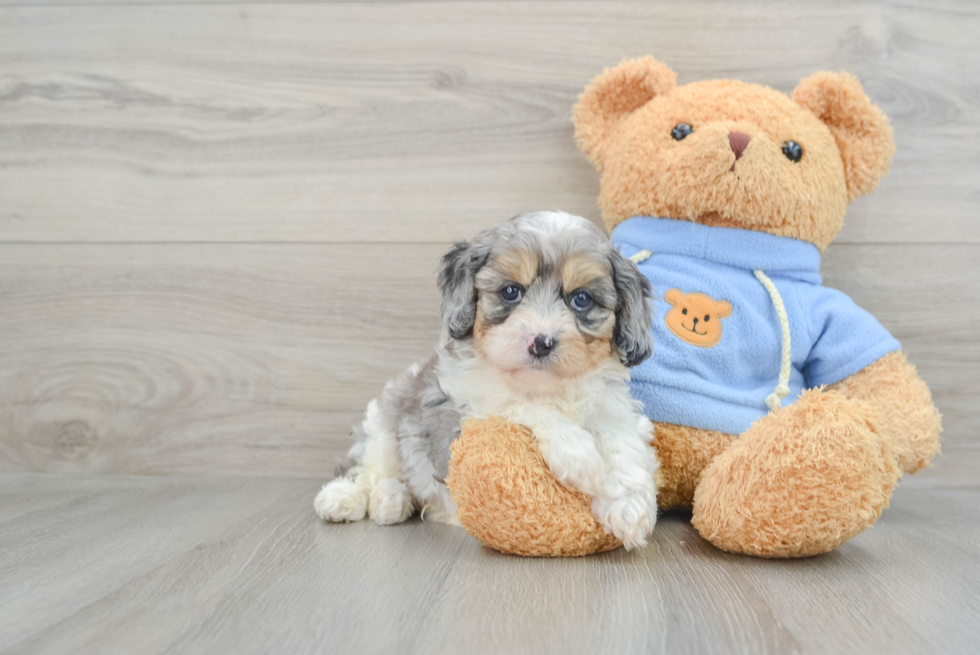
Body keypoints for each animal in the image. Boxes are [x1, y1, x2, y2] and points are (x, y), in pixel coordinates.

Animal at [316, 211, 660, 548]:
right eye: (510, 291)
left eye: (582, 299)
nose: (541, 342)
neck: (548, 385)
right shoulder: (468, 408)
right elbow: (525, 405)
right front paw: (580, 455)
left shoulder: (613, 408)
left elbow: (624, 443)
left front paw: (629, 506)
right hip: (385, 423)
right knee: (367, 467)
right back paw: (347, 498)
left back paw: (390, 501)